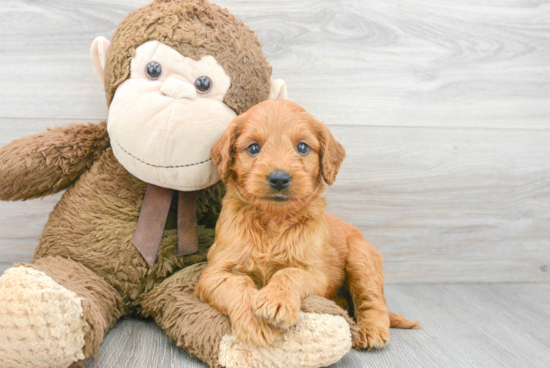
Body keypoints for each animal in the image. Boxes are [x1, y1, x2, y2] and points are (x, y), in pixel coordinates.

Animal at [196, 100, 420, 348]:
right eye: (253, 148)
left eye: (302, 147)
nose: (279, 178)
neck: (274, 221)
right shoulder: (215, 272)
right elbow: (240, 285)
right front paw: (256, 323)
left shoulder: (315, 272)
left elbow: (290, 273)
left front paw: (276, 301)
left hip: (361, 258)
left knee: (372, 298)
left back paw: (372, 330)